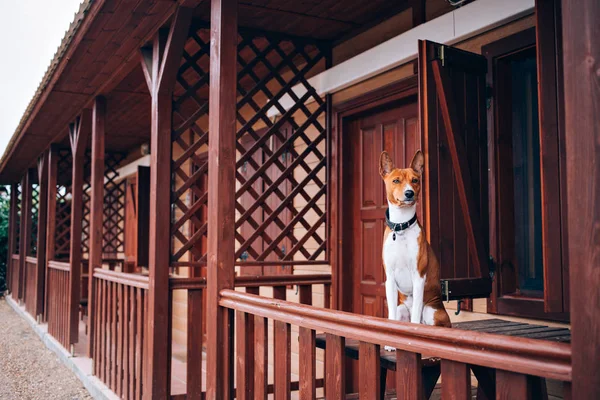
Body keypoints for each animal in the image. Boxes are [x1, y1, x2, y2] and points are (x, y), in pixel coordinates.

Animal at [380, 148, 450, 342]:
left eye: (415, 180)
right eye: (396, 180)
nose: (409, 193)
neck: (401, 228)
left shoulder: (418, 276)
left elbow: (415, 320)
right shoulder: (390, 278)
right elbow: (391, 318)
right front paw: (389, 344)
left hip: (431, 311)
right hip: (402, 309)